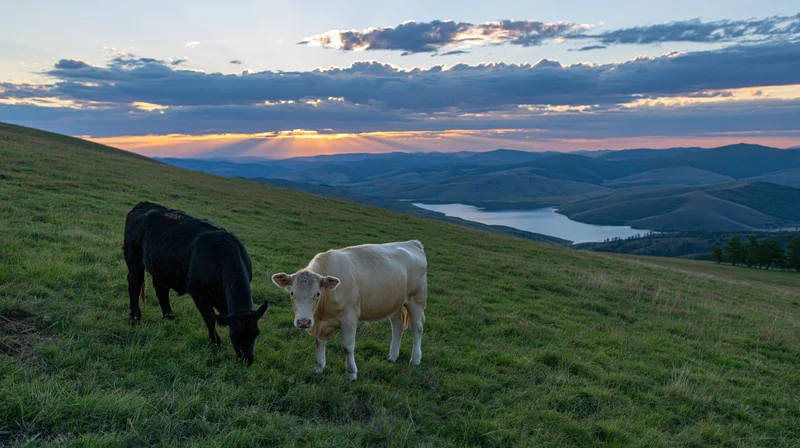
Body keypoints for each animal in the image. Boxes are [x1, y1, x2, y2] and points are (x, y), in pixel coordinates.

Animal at [123, 202, 268, 365]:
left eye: (256, 333)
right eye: (234, 336)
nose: (246, 360)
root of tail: (143, 204)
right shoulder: (198, 291)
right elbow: (209, 319)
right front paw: (216, 343)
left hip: (159, 265)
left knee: (161, 290)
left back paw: (169, 316)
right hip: (133, 258)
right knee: (134, 284)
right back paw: (135, 317)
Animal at [271, 240, 427, 380]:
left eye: (317, 294)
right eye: (291, 293)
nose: (303, 322)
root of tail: (413, 243)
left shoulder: (349, 318)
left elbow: (347, 346)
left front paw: (351, 373)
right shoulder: (322, 323)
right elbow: (319, 342)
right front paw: (319, 367)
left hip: (416, 301)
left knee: (417, 328)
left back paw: (415, 359)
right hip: (394, 301)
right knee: (397, 325)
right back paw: (392, 356)